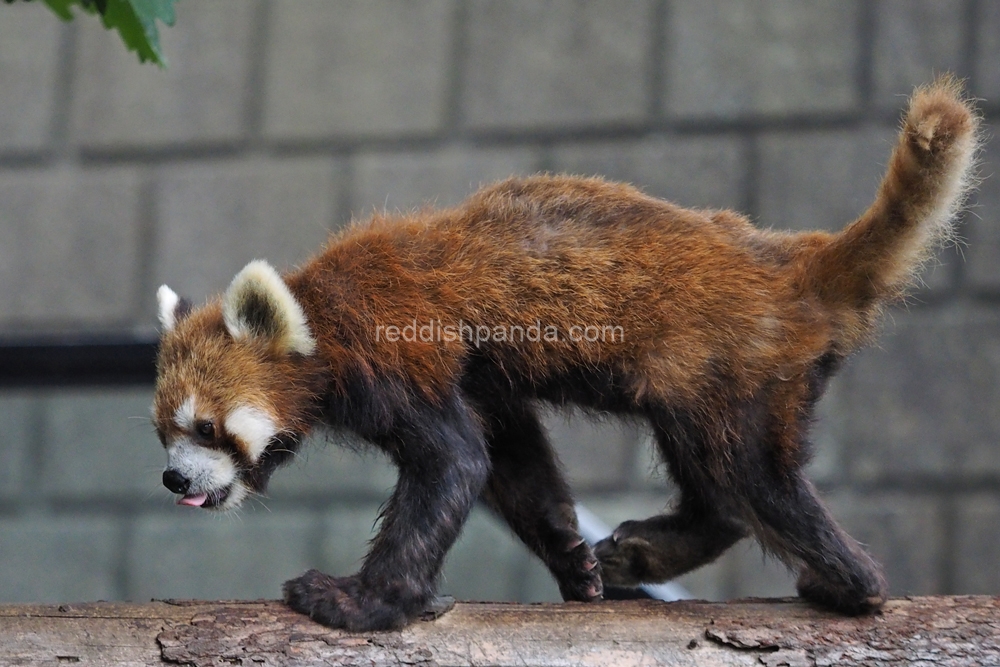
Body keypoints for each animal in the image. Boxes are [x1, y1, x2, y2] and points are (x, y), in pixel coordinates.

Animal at [154, 78, 976, 632]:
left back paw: (849, 584)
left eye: (206, 428)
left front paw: (363, 601)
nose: (172, 479)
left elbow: (452, 463)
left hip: (728, 367)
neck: (317, 312)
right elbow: (509, 461)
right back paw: (638, 556)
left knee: (751, 479)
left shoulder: (396, 353)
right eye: (164, 432)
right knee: (724, 488)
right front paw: (570, 558)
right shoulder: (481, 382)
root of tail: (787, 262)